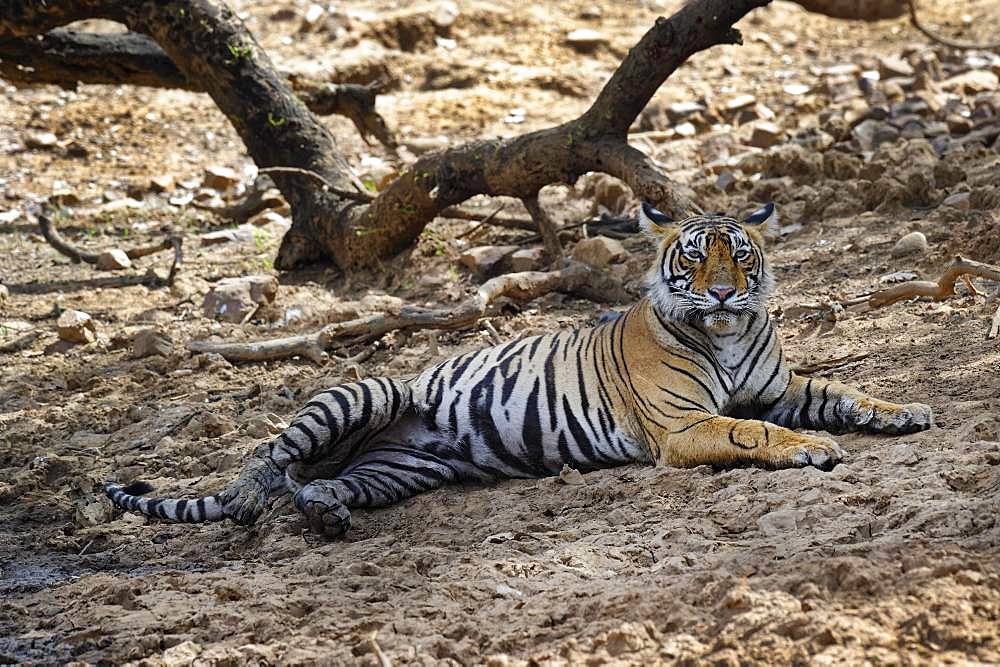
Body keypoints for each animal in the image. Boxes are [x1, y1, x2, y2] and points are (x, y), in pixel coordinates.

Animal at [105, 202, 932, 536]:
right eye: (696, 258)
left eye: (741, 255)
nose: (725, 291)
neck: (726, 333)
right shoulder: (684, 425)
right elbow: (752, 432)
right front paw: (813, 448)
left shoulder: (780, 387)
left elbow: (839, 388)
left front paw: (903, 410)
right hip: (366, 390)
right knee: (267, 455)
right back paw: (254, 499)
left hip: (395, 470)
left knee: (313, 481)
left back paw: (326, 510)